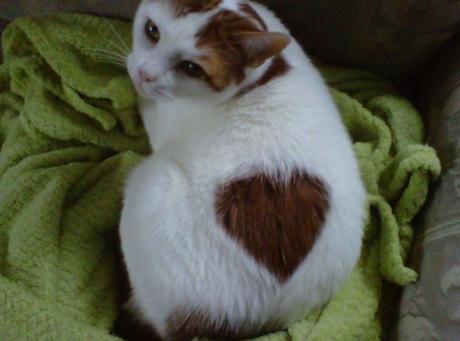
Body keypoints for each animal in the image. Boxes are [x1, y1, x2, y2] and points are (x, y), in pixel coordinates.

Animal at [119, 0, 366, 338]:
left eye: (192, 68)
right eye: (152, 31)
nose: (143, 74)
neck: (262, 74)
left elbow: (150, 108)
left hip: (148, 187)